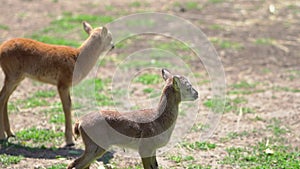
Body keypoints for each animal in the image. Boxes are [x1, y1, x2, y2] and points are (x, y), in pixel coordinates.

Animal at [68, 68, 199, 168]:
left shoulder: (153, 150)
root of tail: (79, 122)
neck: (159, 120)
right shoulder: (145, 148)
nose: (197, 94)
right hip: (95, 147)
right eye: (188, 86)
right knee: (76, 164)